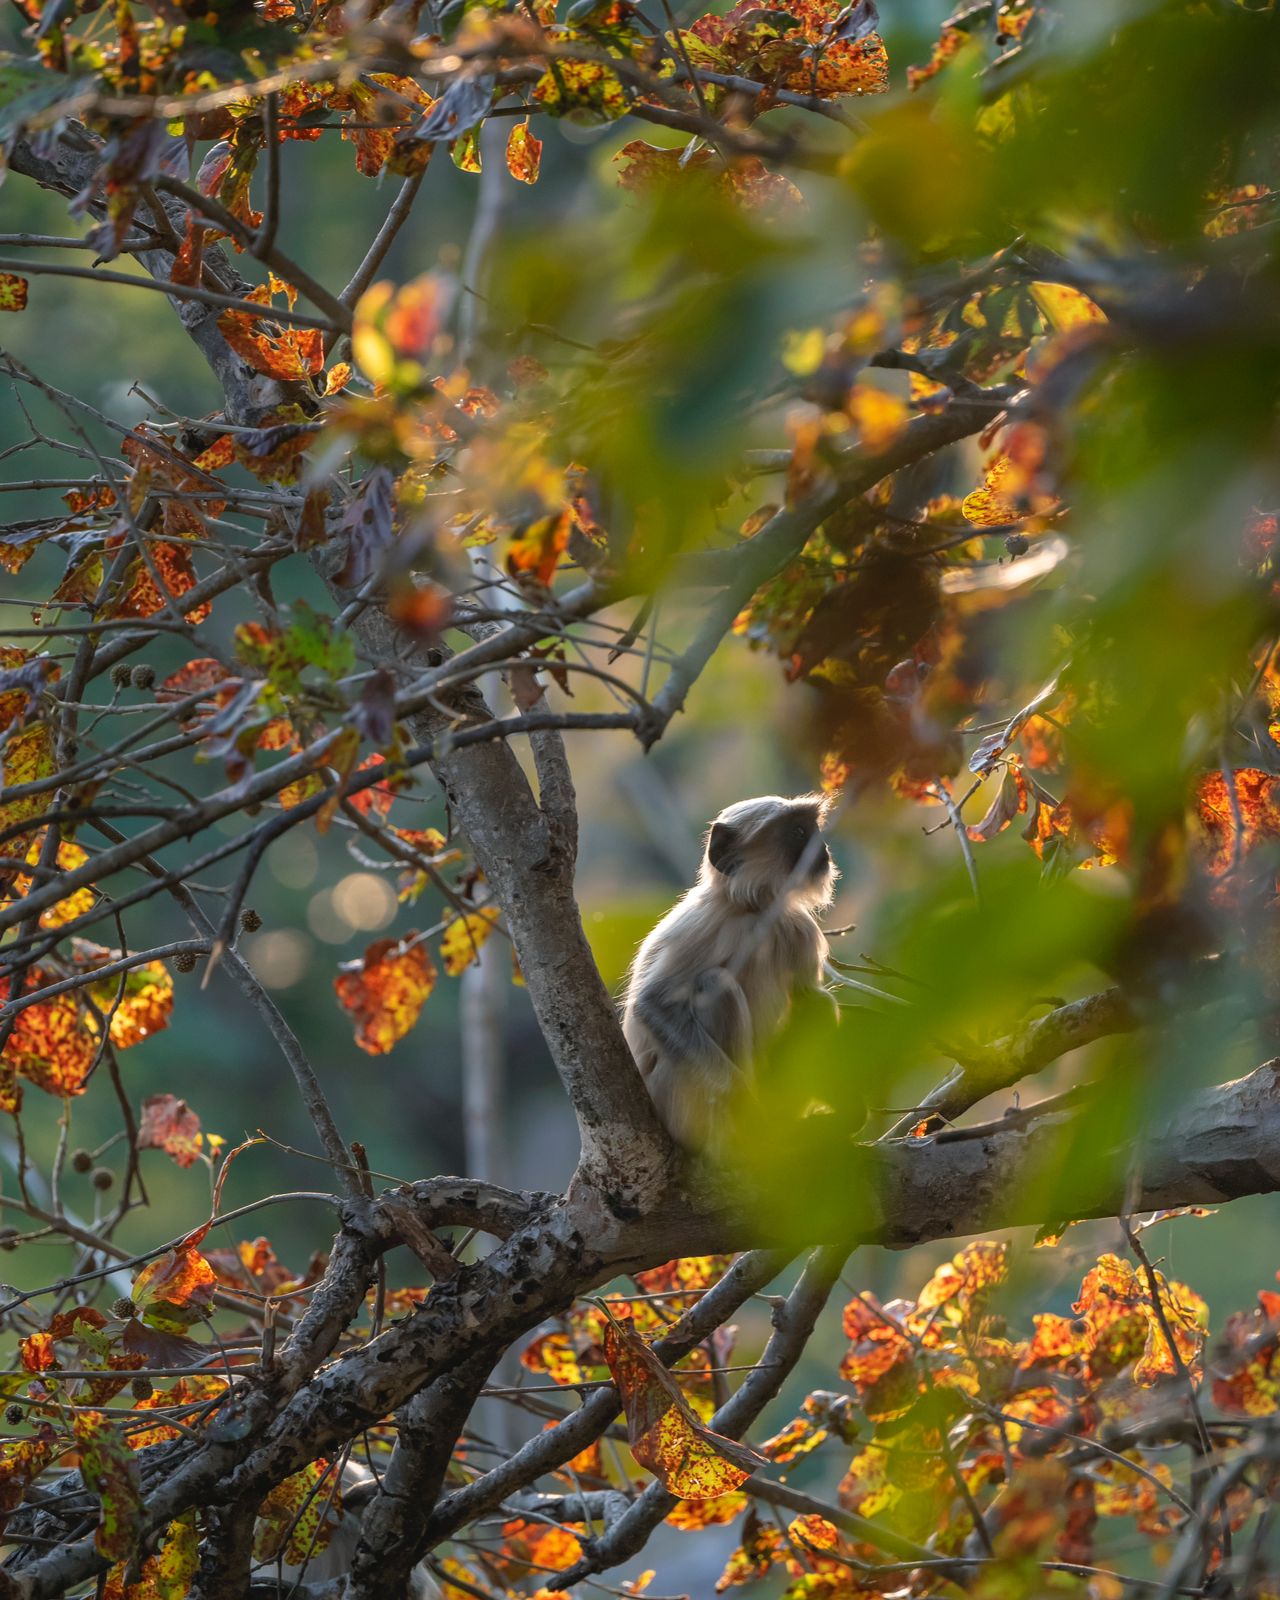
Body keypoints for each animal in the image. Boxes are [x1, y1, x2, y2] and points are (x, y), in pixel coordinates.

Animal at [624, 796, 838, 1152]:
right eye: (797, 832)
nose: (822, 848)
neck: (755, 912)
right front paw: (747, 1107)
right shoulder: (704, 921)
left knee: (818, 1002)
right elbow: (654, 1003)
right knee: (715, 983)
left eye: (812, 829)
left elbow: (808, 994)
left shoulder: (798, 928)